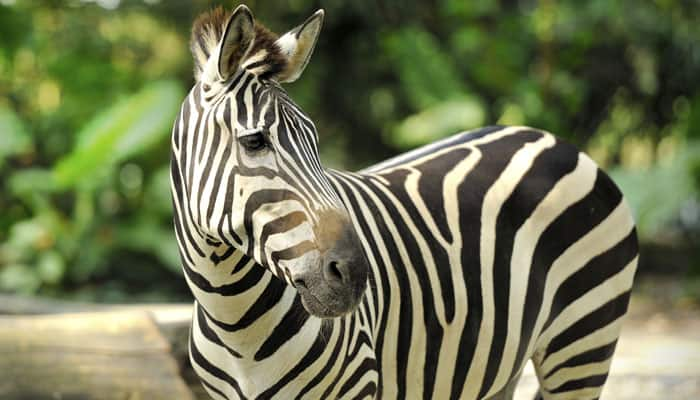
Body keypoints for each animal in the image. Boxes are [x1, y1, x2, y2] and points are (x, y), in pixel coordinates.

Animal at [171, 3, 640, 400]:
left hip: (583, 344)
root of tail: (551, 140)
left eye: (316, 142)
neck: (234, 319)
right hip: (500, 367)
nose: (356, 275)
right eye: (254, 141)